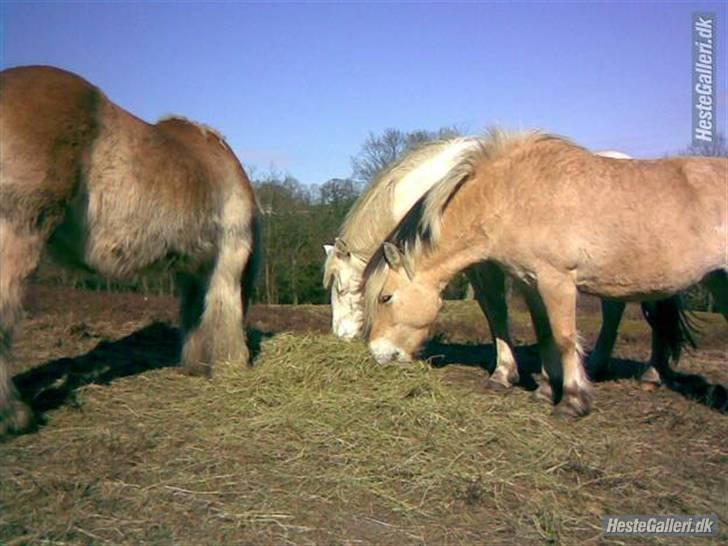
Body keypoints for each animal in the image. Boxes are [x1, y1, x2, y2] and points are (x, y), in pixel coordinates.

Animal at [0, 67, 262, 434]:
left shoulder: (196, 268)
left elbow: (198, 312)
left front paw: (198, 365)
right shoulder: (228, 255)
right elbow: (225, 310)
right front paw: (231, 365)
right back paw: (14, 416)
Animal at [362, 129, 724, 416]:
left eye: (385, 297)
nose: (376, 353)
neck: (514, 195)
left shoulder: (557, 280)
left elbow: (564, 337)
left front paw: (573, 401)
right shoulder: (530, 283)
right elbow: (545, 334)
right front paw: (546, 391)